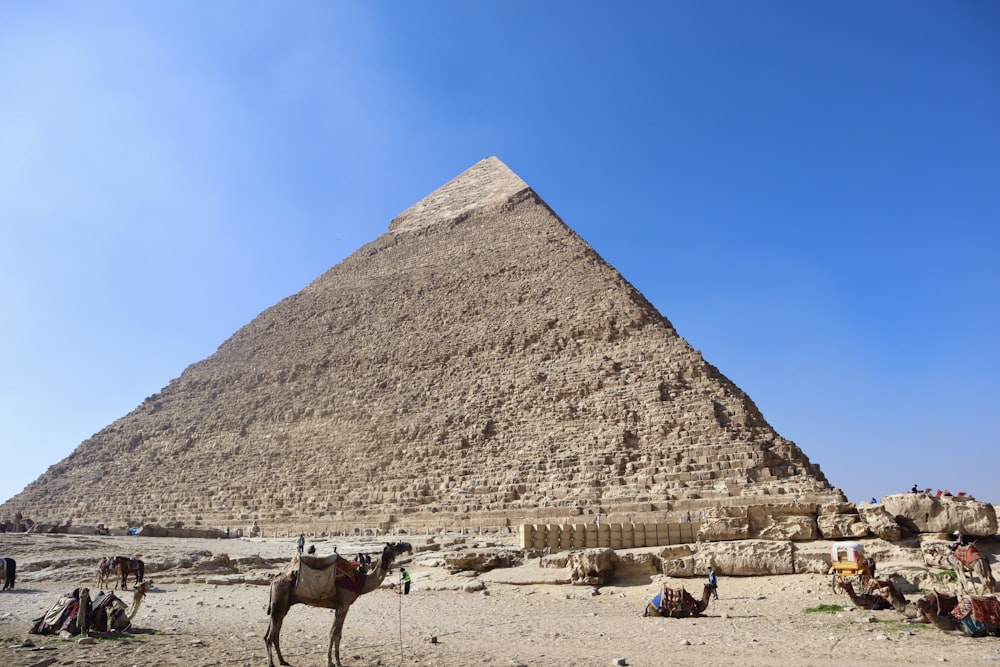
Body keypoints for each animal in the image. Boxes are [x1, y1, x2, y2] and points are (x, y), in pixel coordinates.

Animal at [264, 544, 412, 667]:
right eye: (395, 546)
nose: (408, 546)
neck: (362, 581)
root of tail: (275, 579)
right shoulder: (343, 606)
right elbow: (335, 634)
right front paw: (333, 662)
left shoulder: (339, 608)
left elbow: (335, 634)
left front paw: (334, 661)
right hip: (279, 601)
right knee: (271, 636)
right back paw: (272, 663)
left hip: (282, 606)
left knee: (273, 634)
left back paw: (283, 661)